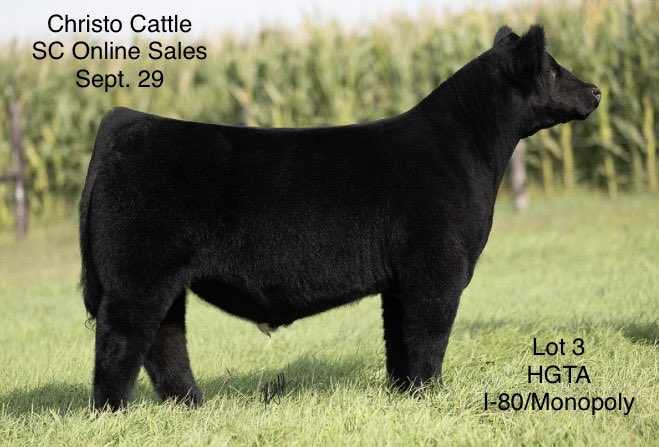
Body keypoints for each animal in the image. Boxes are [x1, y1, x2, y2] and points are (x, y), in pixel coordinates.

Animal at [80, 25, 600, 411]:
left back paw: (191, 405)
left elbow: (399, 340)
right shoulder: (437, 269)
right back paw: (112, 413)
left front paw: (403, 394)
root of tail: (128, 119)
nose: (596, 90)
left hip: (165, 281)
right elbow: (428, 336)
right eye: (551, 69)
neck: (468, 149)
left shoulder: (400, 280)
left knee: (165, 341)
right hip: (139, 277)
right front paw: (430, 395)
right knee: (121, 341)